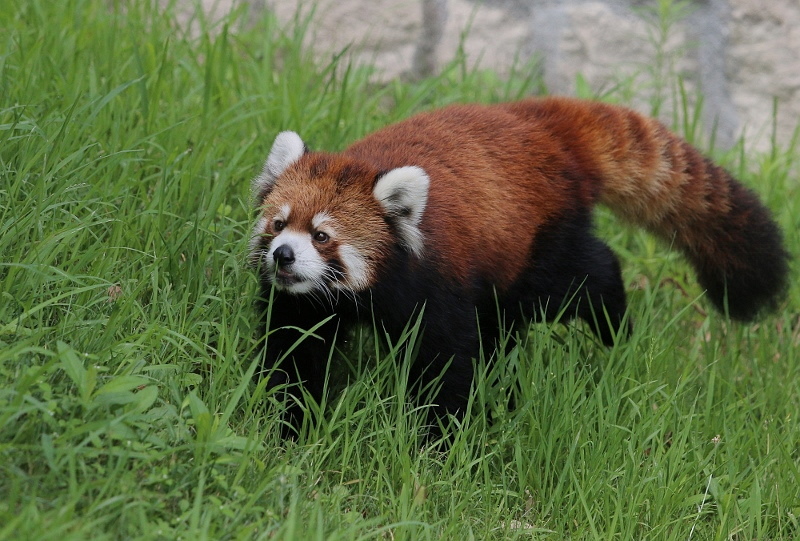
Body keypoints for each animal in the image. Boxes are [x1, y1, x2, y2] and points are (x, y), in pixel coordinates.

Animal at [248, 96, 788, 434]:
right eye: (279, 224)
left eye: (322, 236)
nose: (284, 255)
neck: (362, 294)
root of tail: (538, 122)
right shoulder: (306, 304)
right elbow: (295, 352)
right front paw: (289, 422)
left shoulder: (435, 283)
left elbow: (446, 363)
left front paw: (437, 439)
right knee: (505, 320)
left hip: (539, 243)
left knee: (585, 276)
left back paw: (613, 328)